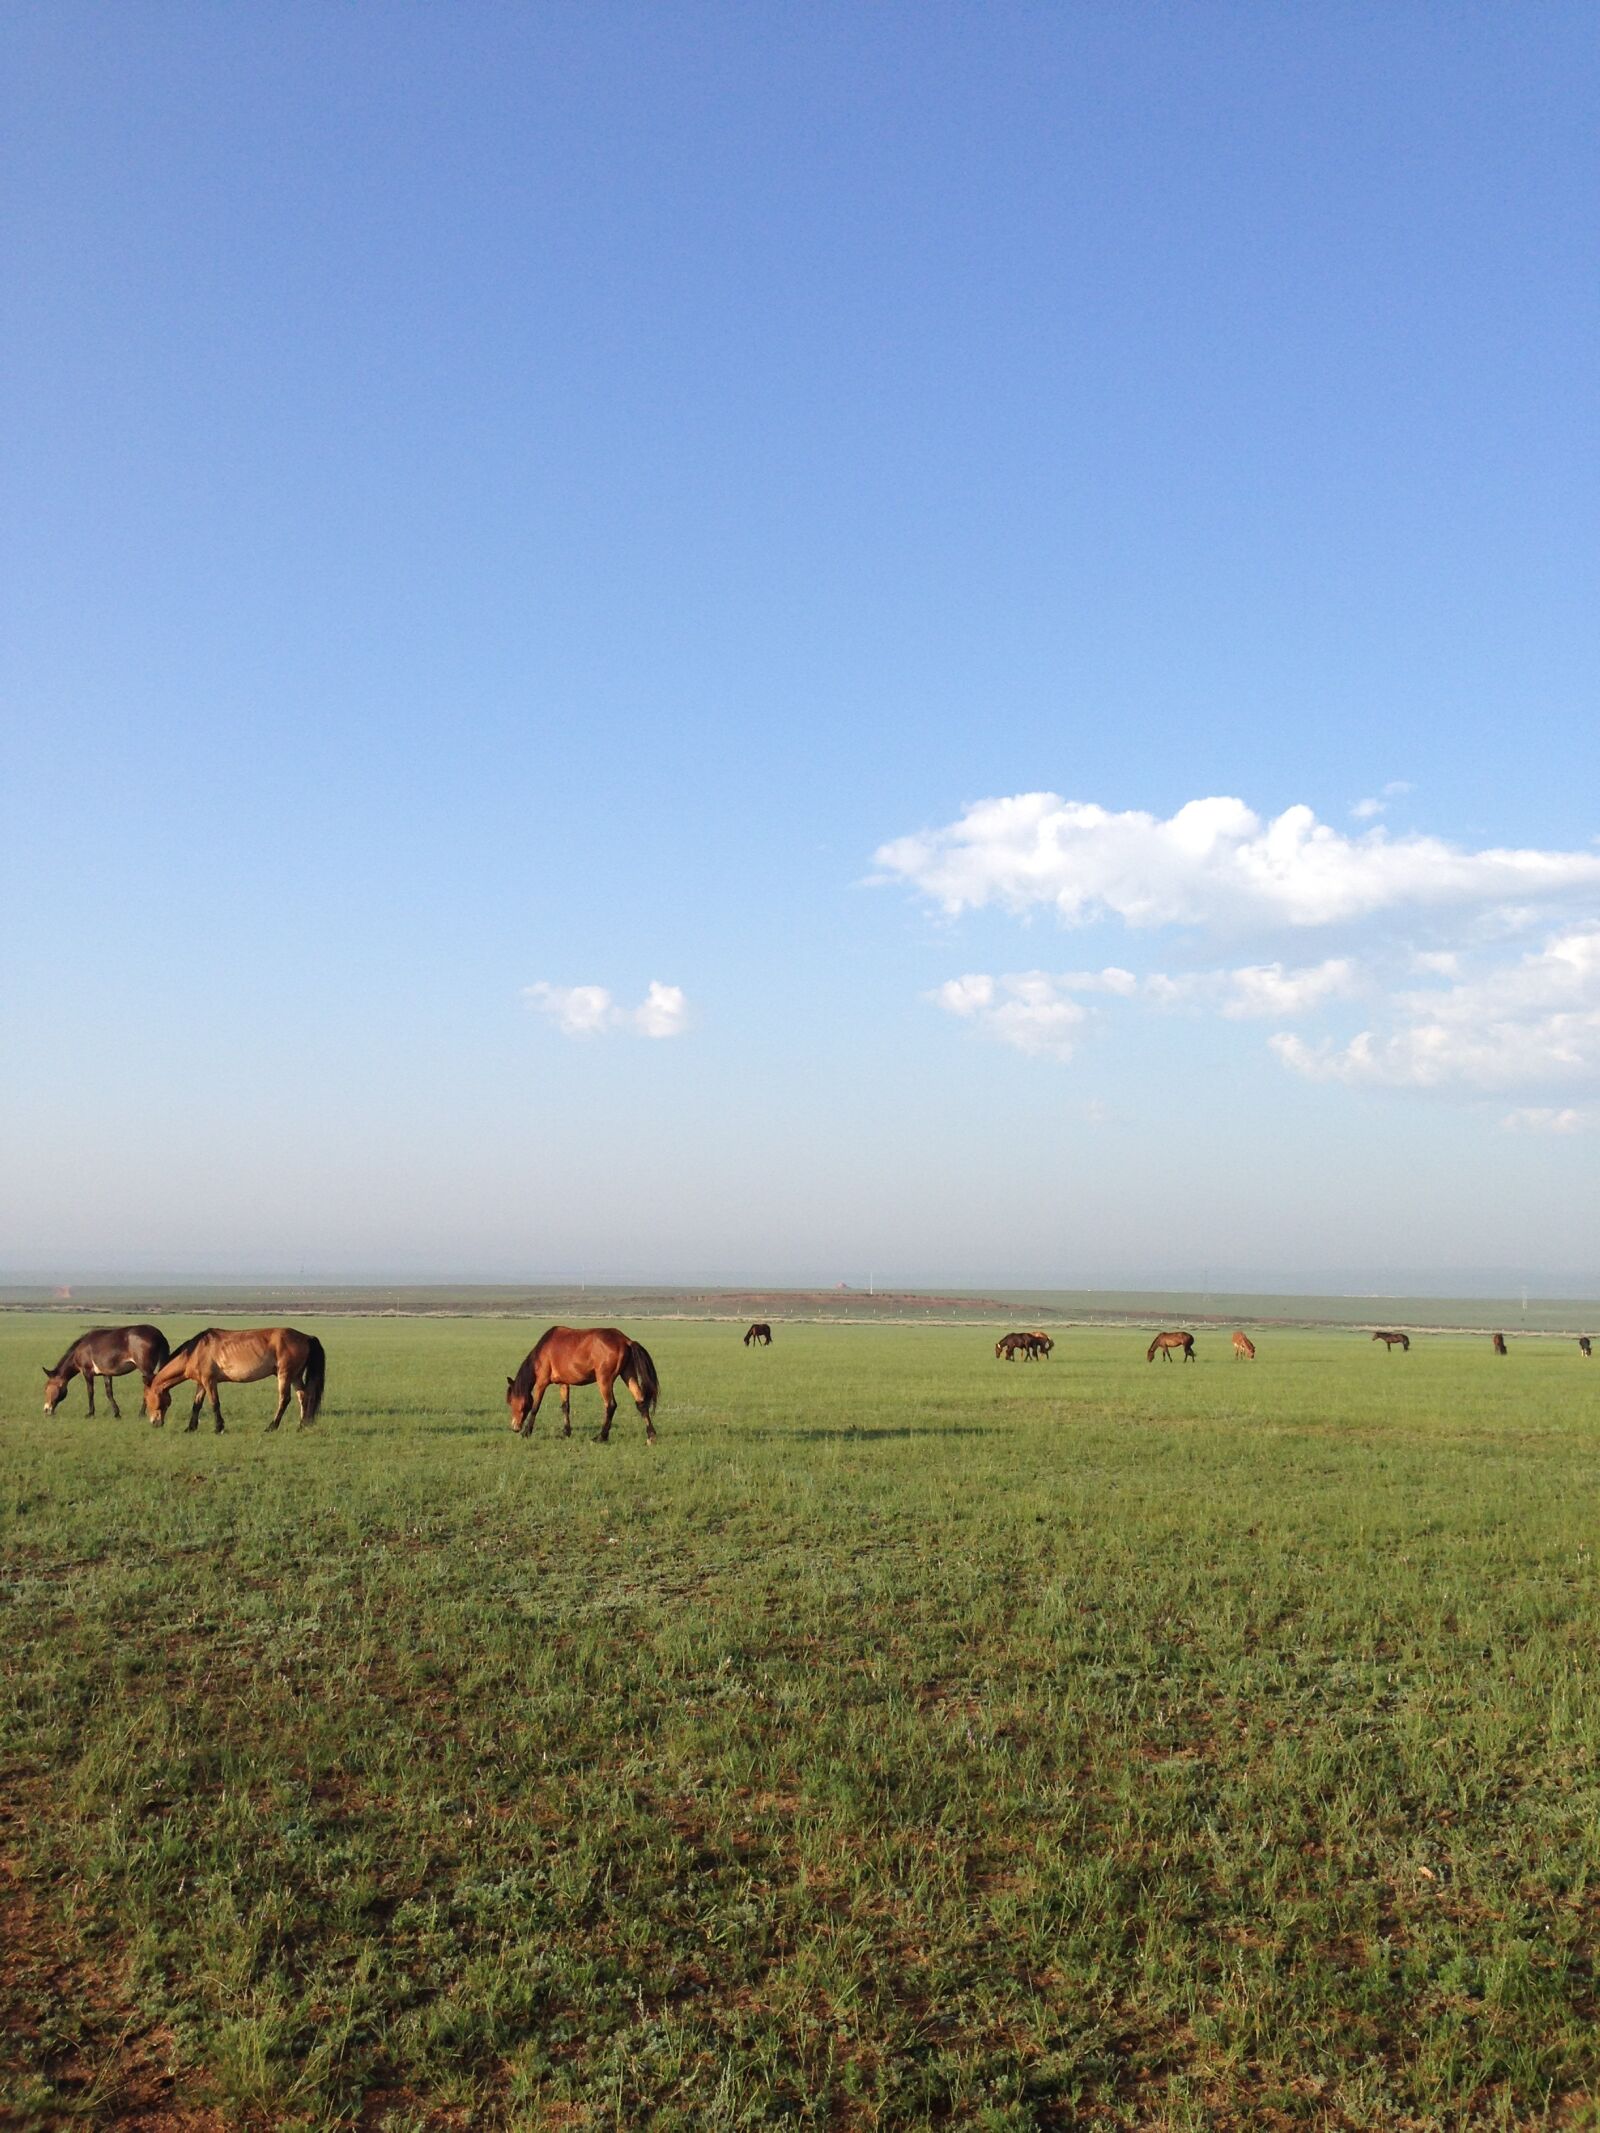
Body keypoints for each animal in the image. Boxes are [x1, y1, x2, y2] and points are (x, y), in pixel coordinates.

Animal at [144, 1328, 326, 1432]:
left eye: (146, 1399)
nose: (154, 1423)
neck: (196, 1351)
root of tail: (306, 1337)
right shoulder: (201, 1383)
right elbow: (196, 1405)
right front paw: (190, 1427)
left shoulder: (210, 1381)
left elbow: (214, 1404)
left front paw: (219, 1427)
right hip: (295, 1376)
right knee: (304, 1396)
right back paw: (302, 1425)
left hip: (285, 1375)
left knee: (284, 1399)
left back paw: (272, 1426)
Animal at [507, 1326, 659, 1442]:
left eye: (512, 1401)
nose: (515, 1427)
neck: (543, 1350)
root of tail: (626, 1341)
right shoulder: (564, 1383)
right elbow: (565, 1407)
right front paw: (566, 1432)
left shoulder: (541, 1383)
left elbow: (535, 1407)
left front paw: (526, 1432)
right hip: (628, 1374)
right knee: (640, 1402)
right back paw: (651, 1435)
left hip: (604, 1380)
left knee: (610, 1405)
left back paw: (601, 1437)